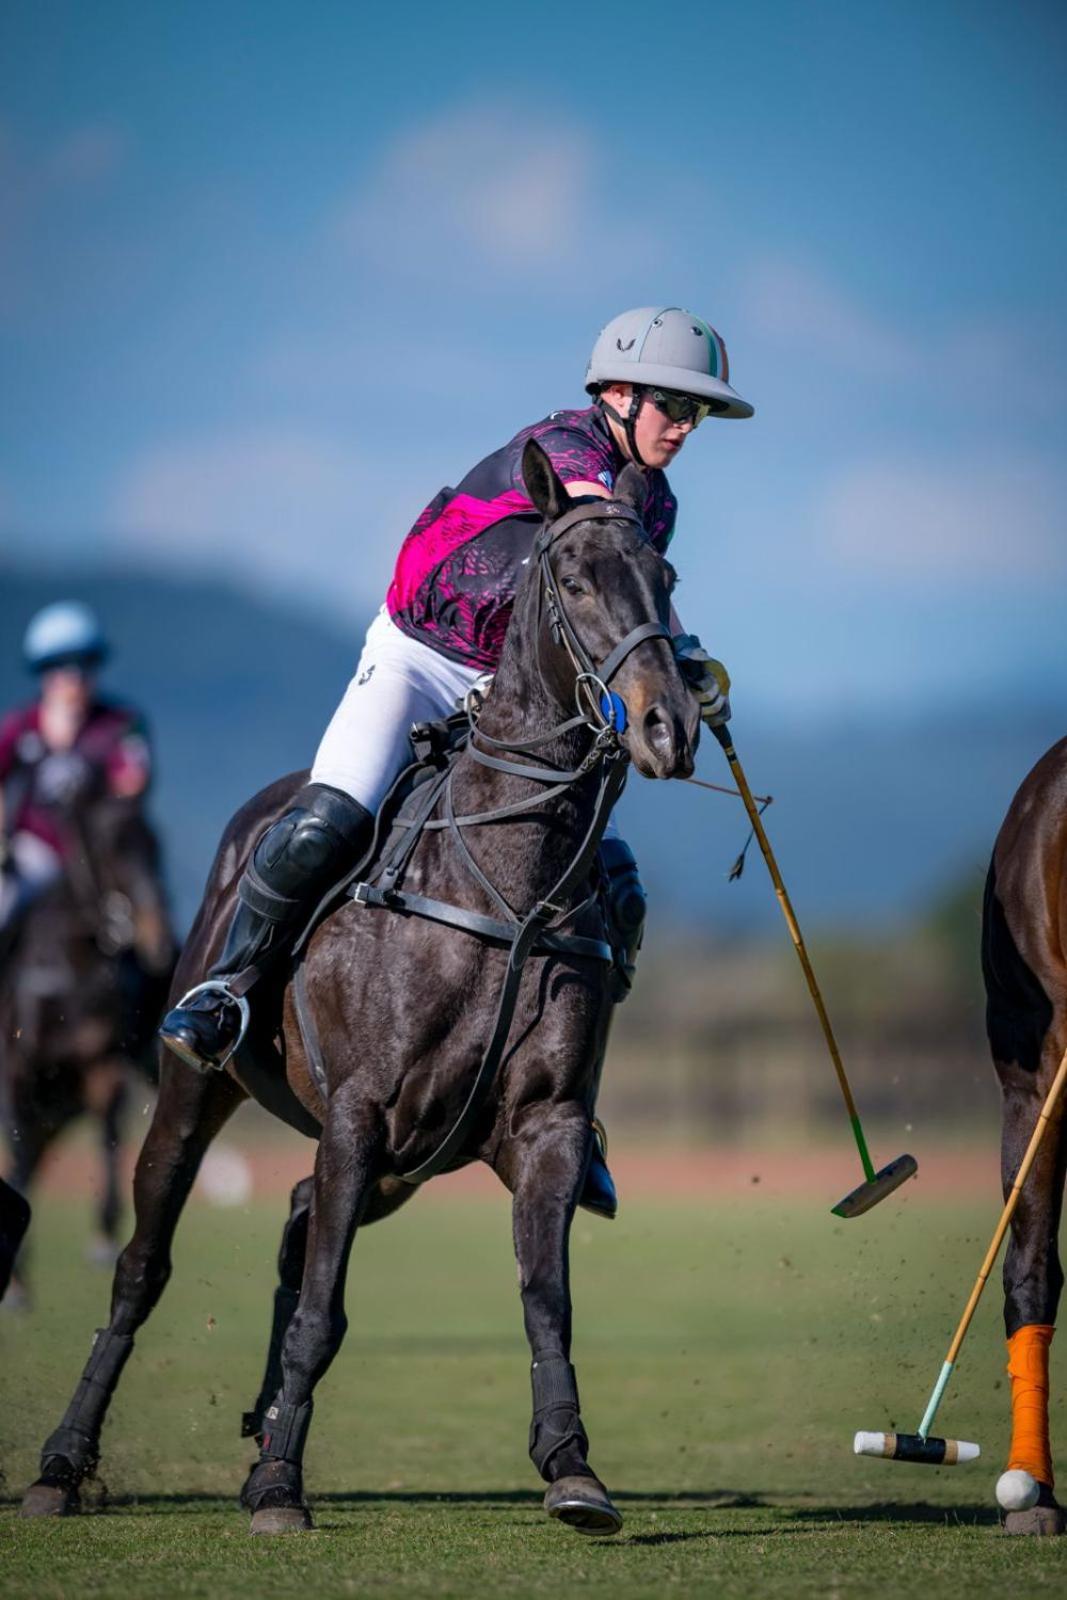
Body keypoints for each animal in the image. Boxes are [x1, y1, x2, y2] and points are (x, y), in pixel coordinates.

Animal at [1, 793, 175, 1292]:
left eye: (155, 845)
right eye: (107, 846)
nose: (158, 938)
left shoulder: (104, 1063)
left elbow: (111, 1133)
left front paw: (102, 1236)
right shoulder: (16, 1071)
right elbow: (16, 1154)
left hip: (59, 1108)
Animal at [20, 448, 700, 1536]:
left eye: (665, 579)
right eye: (574, 580)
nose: (668, 725)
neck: (505, 881)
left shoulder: (543, 1126)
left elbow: (543, 1295)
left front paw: (572, 1468)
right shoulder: (359, 1110)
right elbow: (321, 1310)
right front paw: (279, 1493)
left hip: (402, 1166)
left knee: (299, 1217)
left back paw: (260, 1427)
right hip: (195, 1089)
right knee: (142, 1265)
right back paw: (63, 1462)